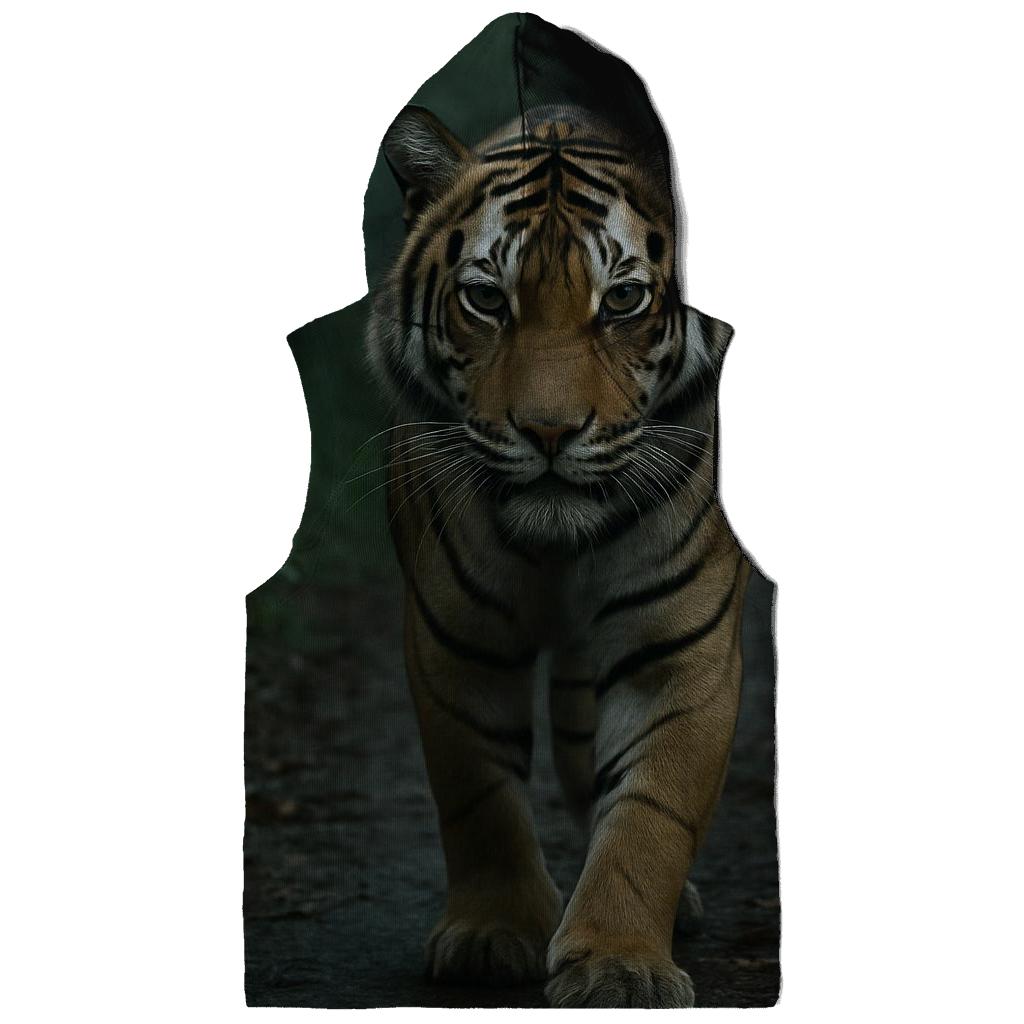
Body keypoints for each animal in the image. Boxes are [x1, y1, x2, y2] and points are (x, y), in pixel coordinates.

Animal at [365, 103, 750, 1009]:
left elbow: (650, 812)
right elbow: (479, 795)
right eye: (484, 300)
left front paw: (619, 964)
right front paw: (494, 932)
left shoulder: (681, 654)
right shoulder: (453, 641)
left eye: (624, 300)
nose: (548, 431)